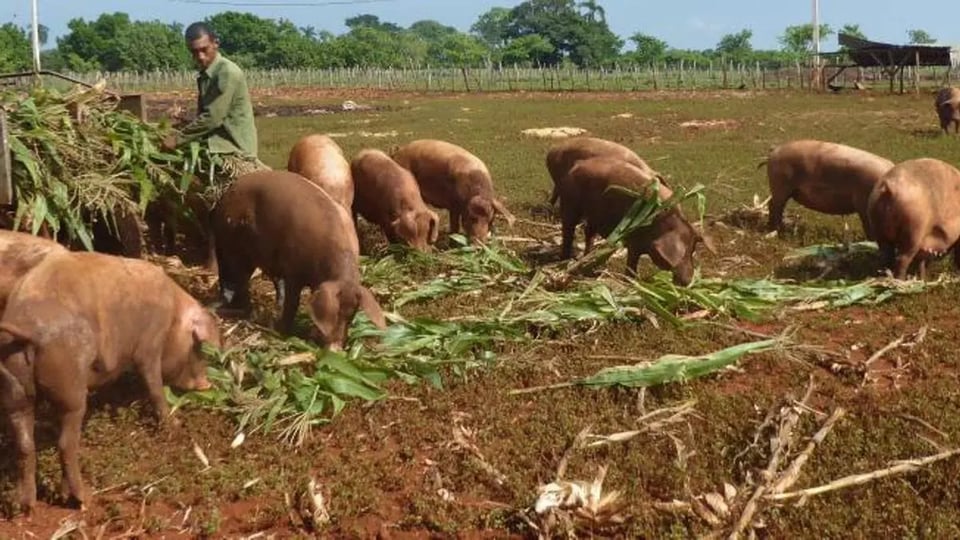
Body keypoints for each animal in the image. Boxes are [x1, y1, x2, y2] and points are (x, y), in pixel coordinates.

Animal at [0, 251, 219, 514]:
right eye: (199, 347)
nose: (207, 386)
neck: (173, 314)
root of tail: (26, 326)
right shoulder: (150, 342)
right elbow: (154, 384)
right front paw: (174, 425)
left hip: (14, 385)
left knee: (24, 443)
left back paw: (24, 506)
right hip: (69, 384)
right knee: (65, 442)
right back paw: (82, 500)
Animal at [212, 170, 386, 349]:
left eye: (351, 315)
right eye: (334, 313)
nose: (336, 348)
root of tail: (228, 192)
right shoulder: (293, 273)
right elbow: (293, 304)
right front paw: (283, 332)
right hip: (233, 247)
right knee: (238, 280)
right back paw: (244, 312)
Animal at [558, 156, 714, 286]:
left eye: (692, 250)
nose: (688, 281)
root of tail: (577, 164)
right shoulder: (633, 240)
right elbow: (632, 263)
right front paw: (631, 281)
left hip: (593, 216)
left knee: (589, 233)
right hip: (569, 204)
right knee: (568, 231)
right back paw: (565, 260)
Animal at [761, 139, 894, 238]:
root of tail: (774, 151)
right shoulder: (863, 206)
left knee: (772, 205)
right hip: (780, 186)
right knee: (775, 206)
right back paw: (778, 230)